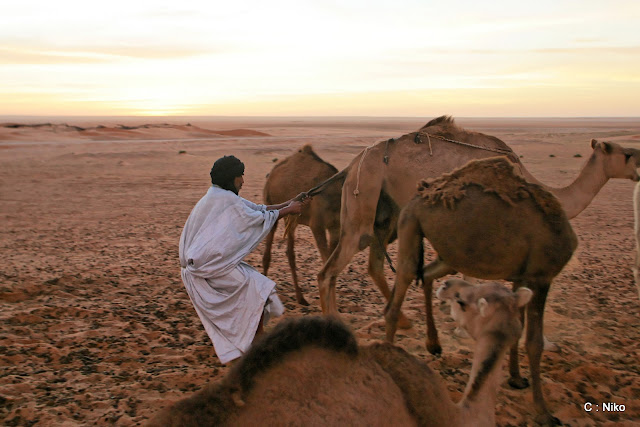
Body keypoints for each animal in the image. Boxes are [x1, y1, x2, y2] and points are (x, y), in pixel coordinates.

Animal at [260, 145, 342, 306]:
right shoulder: (317, 225)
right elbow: (326, 263)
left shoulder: (335, 227)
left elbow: (331, 265)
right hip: (270, 202)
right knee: (267, 253)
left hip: (292, 220)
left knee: (290, 253)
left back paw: (301, 298)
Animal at [318, 114, 640, 320]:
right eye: (627, 153)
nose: (638, 168)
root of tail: (354, 162)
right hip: (365, 189)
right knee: (334, 265)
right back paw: (337, 322)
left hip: (384, 206)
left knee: (372, 260)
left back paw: (402, 321)